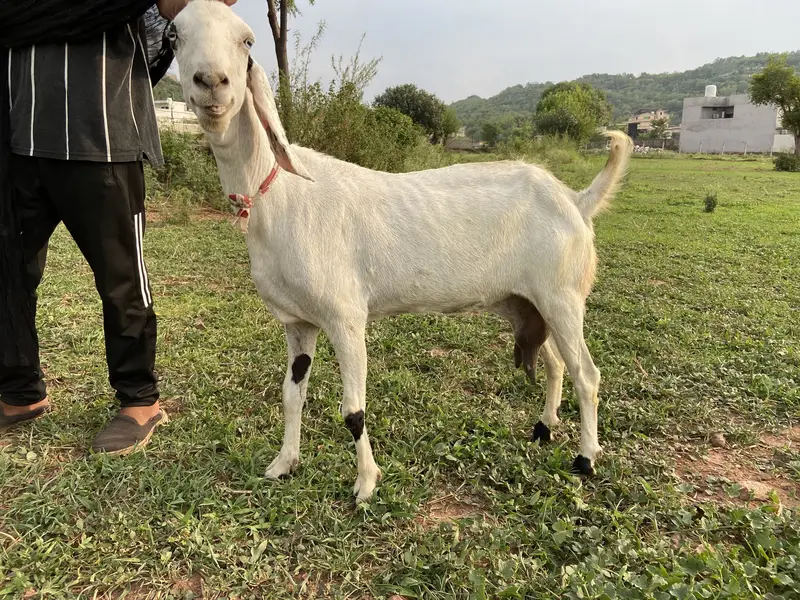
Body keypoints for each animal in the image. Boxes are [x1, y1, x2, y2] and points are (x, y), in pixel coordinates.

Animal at [170, 0, 633, 502]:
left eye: (247, 40)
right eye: (174, 35)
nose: (212, 82)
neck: (282, 193)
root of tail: (575, 199)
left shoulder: (345, 317)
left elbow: (353, 410)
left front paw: (365, 484)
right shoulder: (297, 322)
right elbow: (292, 394)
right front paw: (283, 463)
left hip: (562, 295)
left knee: (586, 373)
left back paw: (586, 458)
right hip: (524, 301)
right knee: (554, 362)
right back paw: (544, 426)